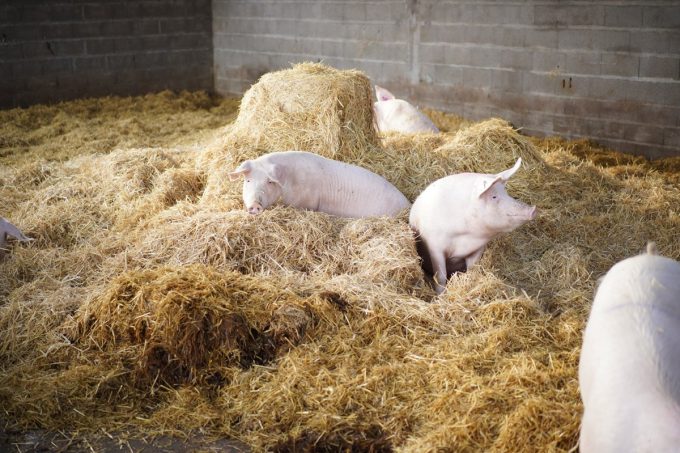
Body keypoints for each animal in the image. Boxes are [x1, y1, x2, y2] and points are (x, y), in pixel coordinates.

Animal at [408, 158, 537, 293]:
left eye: (506, 193)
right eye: (494, 196)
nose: (533, 210)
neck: (467, 235)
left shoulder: (478, 249)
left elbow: (472, 270)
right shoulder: (434, 246)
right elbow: (440, 276)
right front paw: (440, 295)